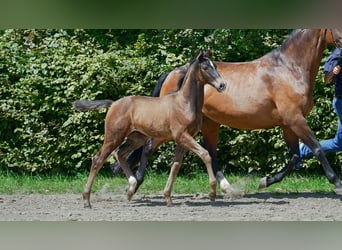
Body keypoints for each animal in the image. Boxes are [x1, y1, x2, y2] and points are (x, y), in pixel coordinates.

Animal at [75, 49, 228, 207]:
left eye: (216, 66)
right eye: (206, 67)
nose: (222, 85)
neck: (184, 103)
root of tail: (113, 104)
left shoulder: (183, 140)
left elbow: (175, 166)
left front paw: (168, 198)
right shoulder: (182, 136)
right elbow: (205, 154)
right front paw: (212, 193)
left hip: (137, 138)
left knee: (120, 153)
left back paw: (131, 187)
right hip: (113, 137)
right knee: (97, 159)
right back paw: (87, 200)